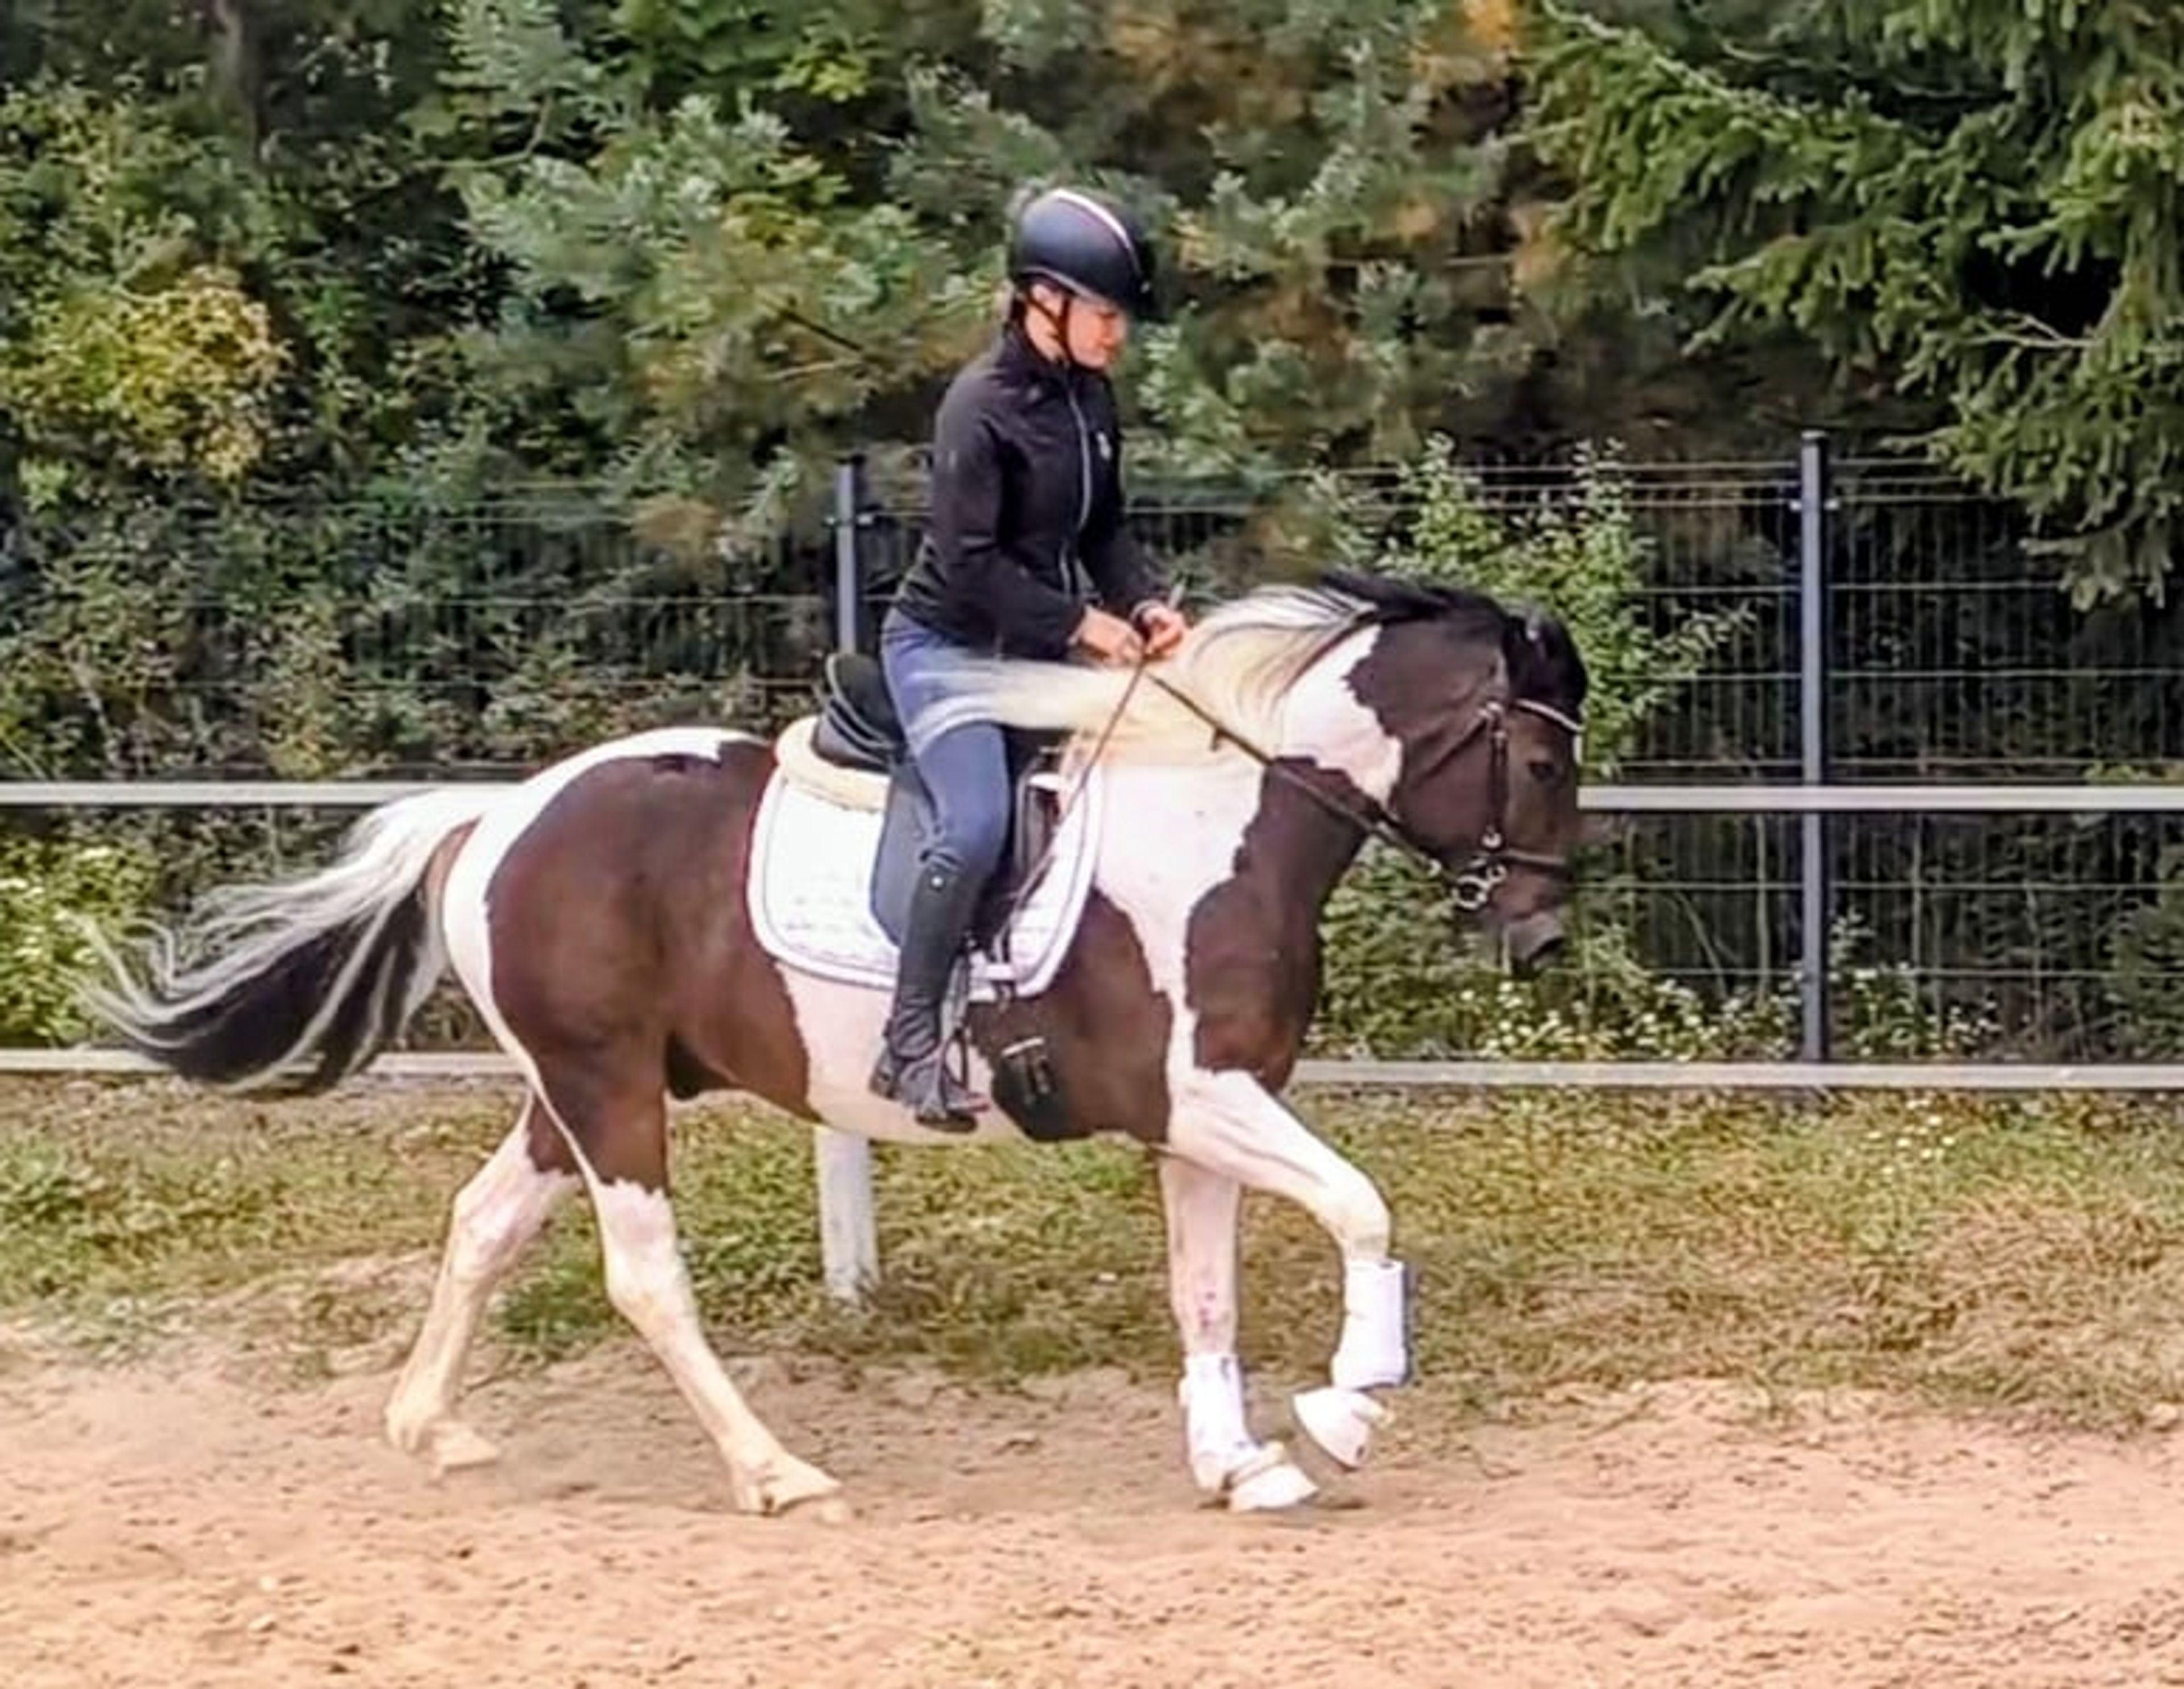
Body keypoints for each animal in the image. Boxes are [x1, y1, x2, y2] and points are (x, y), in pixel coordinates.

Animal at [77, 565, 1589, 1519]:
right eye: (1540, 757)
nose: (1539, 936)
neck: (1218, 822)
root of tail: (499, 816)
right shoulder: (1209, 1100)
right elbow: (1364, 1207)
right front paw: (1346, 1409)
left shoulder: (1203, 1116)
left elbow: (1205, 1294)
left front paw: (1242, 1465)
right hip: (610, 1091)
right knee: (645, 1278)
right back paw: (774, 1472)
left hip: (574, 1090)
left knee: (482, 1223)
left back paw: (431, 1427)